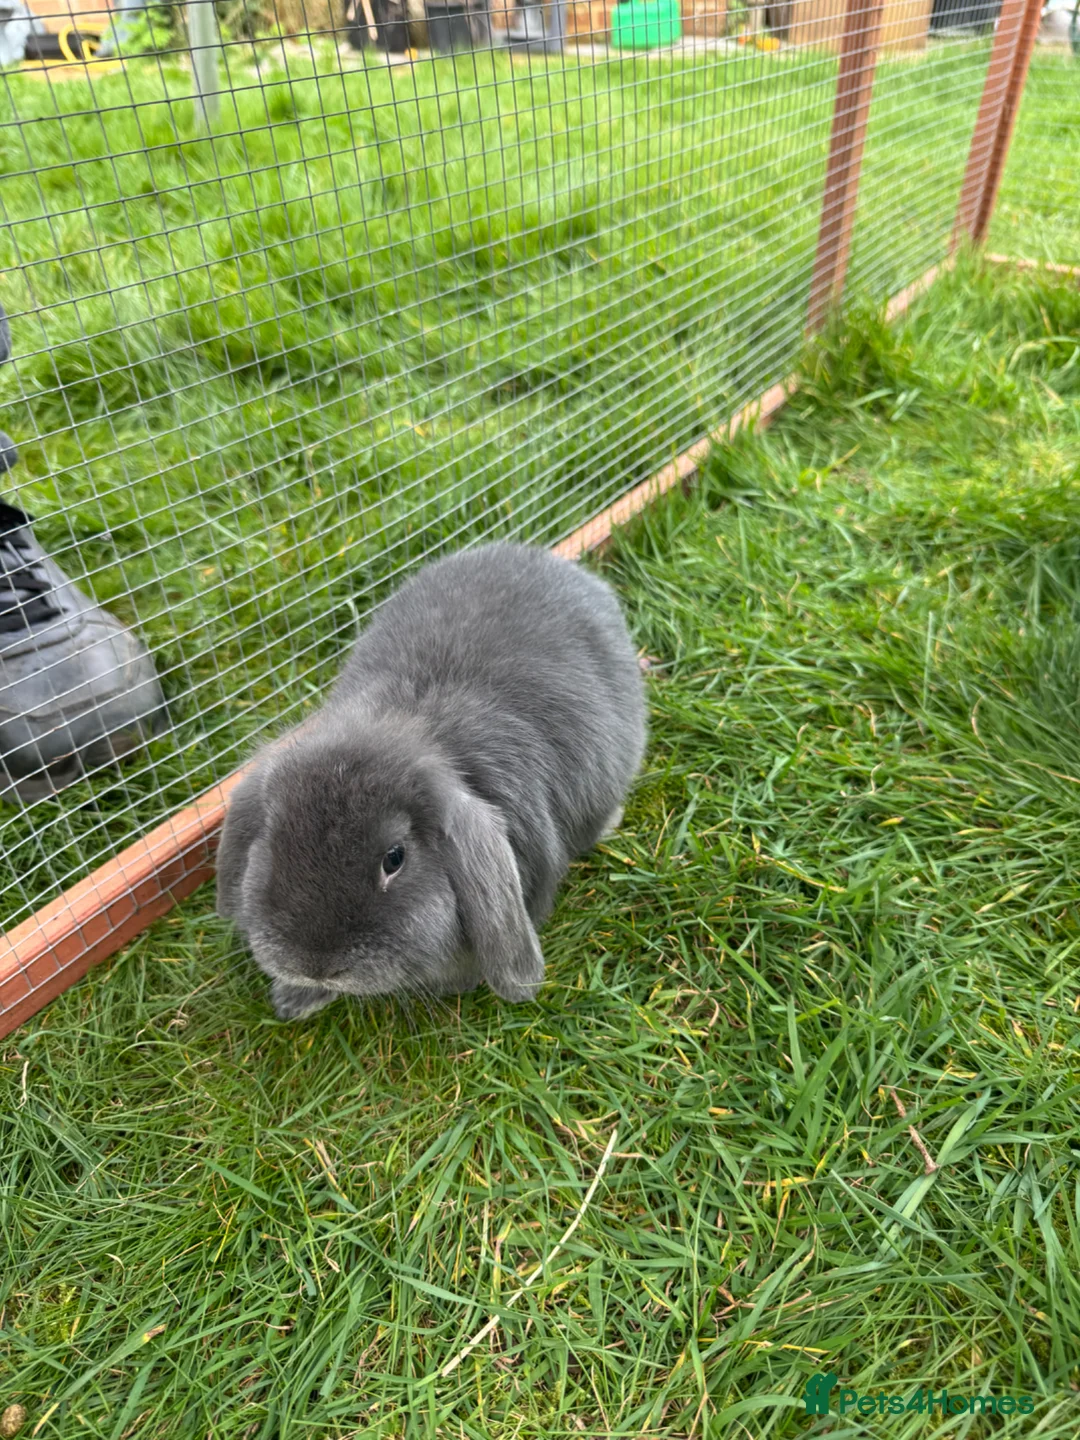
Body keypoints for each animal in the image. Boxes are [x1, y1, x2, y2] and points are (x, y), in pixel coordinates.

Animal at [216, 542, 647, 1020]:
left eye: (395, 858)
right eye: (272, 844)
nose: (317, 966)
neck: (405, 725)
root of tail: (547, 560)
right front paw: (295, 999)